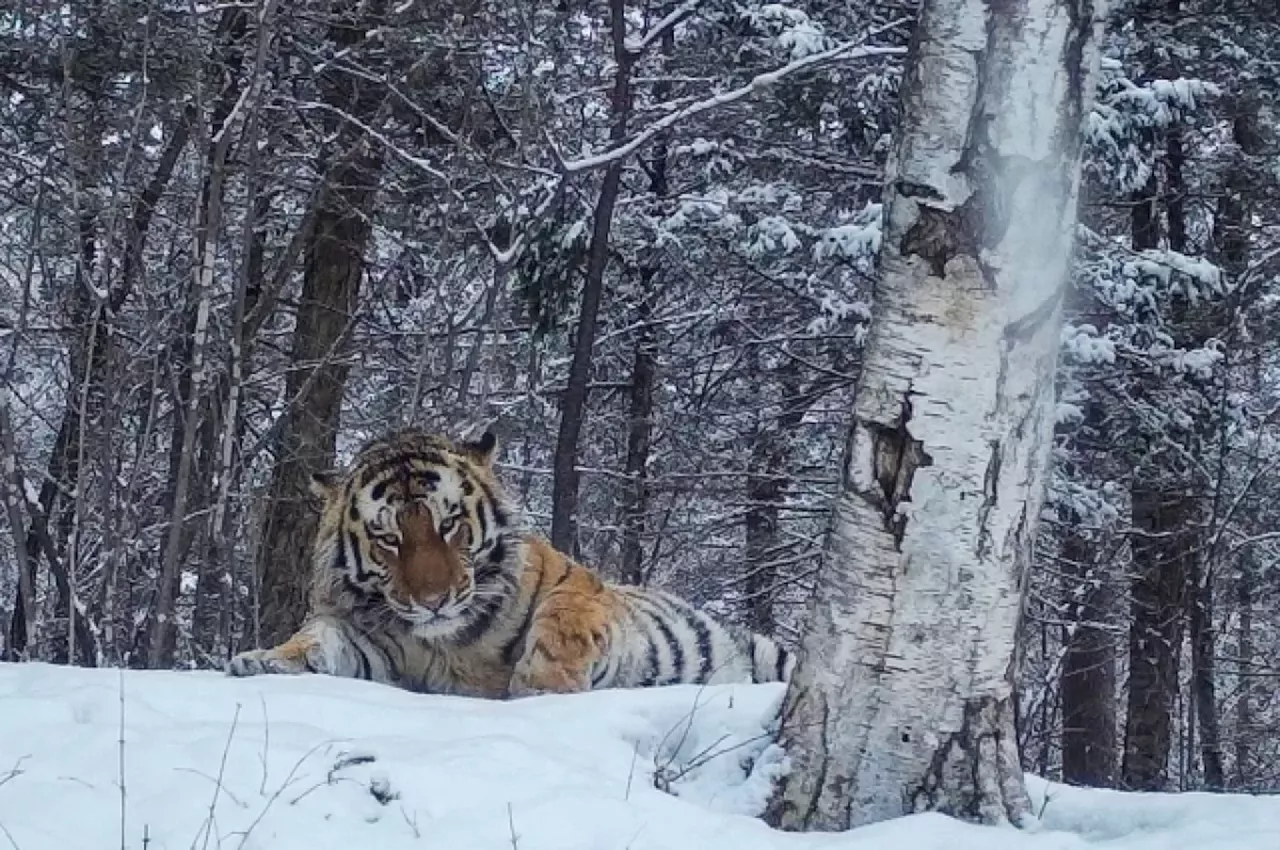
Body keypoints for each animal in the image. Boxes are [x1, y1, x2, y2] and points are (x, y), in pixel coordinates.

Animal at [225, 425, 793, 696]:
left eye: (449, 523)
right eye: (388, 538)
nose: (433, 601)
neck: (448, 642)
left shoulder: (580, 584)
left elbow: (562, 623)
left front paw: (541, 686)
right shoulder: (372, 637)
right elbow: (320, 637)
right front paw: (265, 660)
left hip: (770, 654)